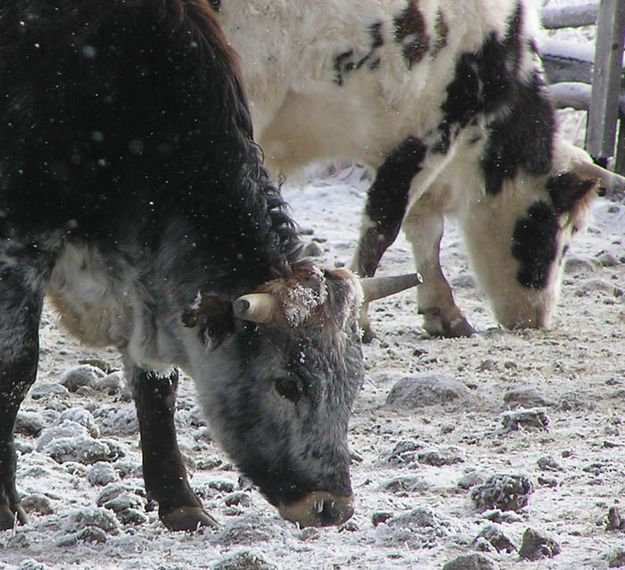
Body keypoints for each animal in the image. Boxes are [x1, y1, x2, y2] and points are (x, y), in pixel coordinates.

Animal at [1, 0, 420, 528]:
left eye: (353, 383)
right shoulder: (21, 244)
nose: (332, 506)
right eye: (287, 383)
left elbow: (156, 383)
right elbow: (15, 369)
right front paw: (4, 506)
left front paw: (180, 502)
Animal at [212, 0, 620, 338]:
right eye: (560, 228)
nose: (537, 318)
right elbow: (383, 227)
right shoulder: (432, 133)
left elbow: (424, 229)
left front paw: (443, 312)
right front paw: (359, 320)